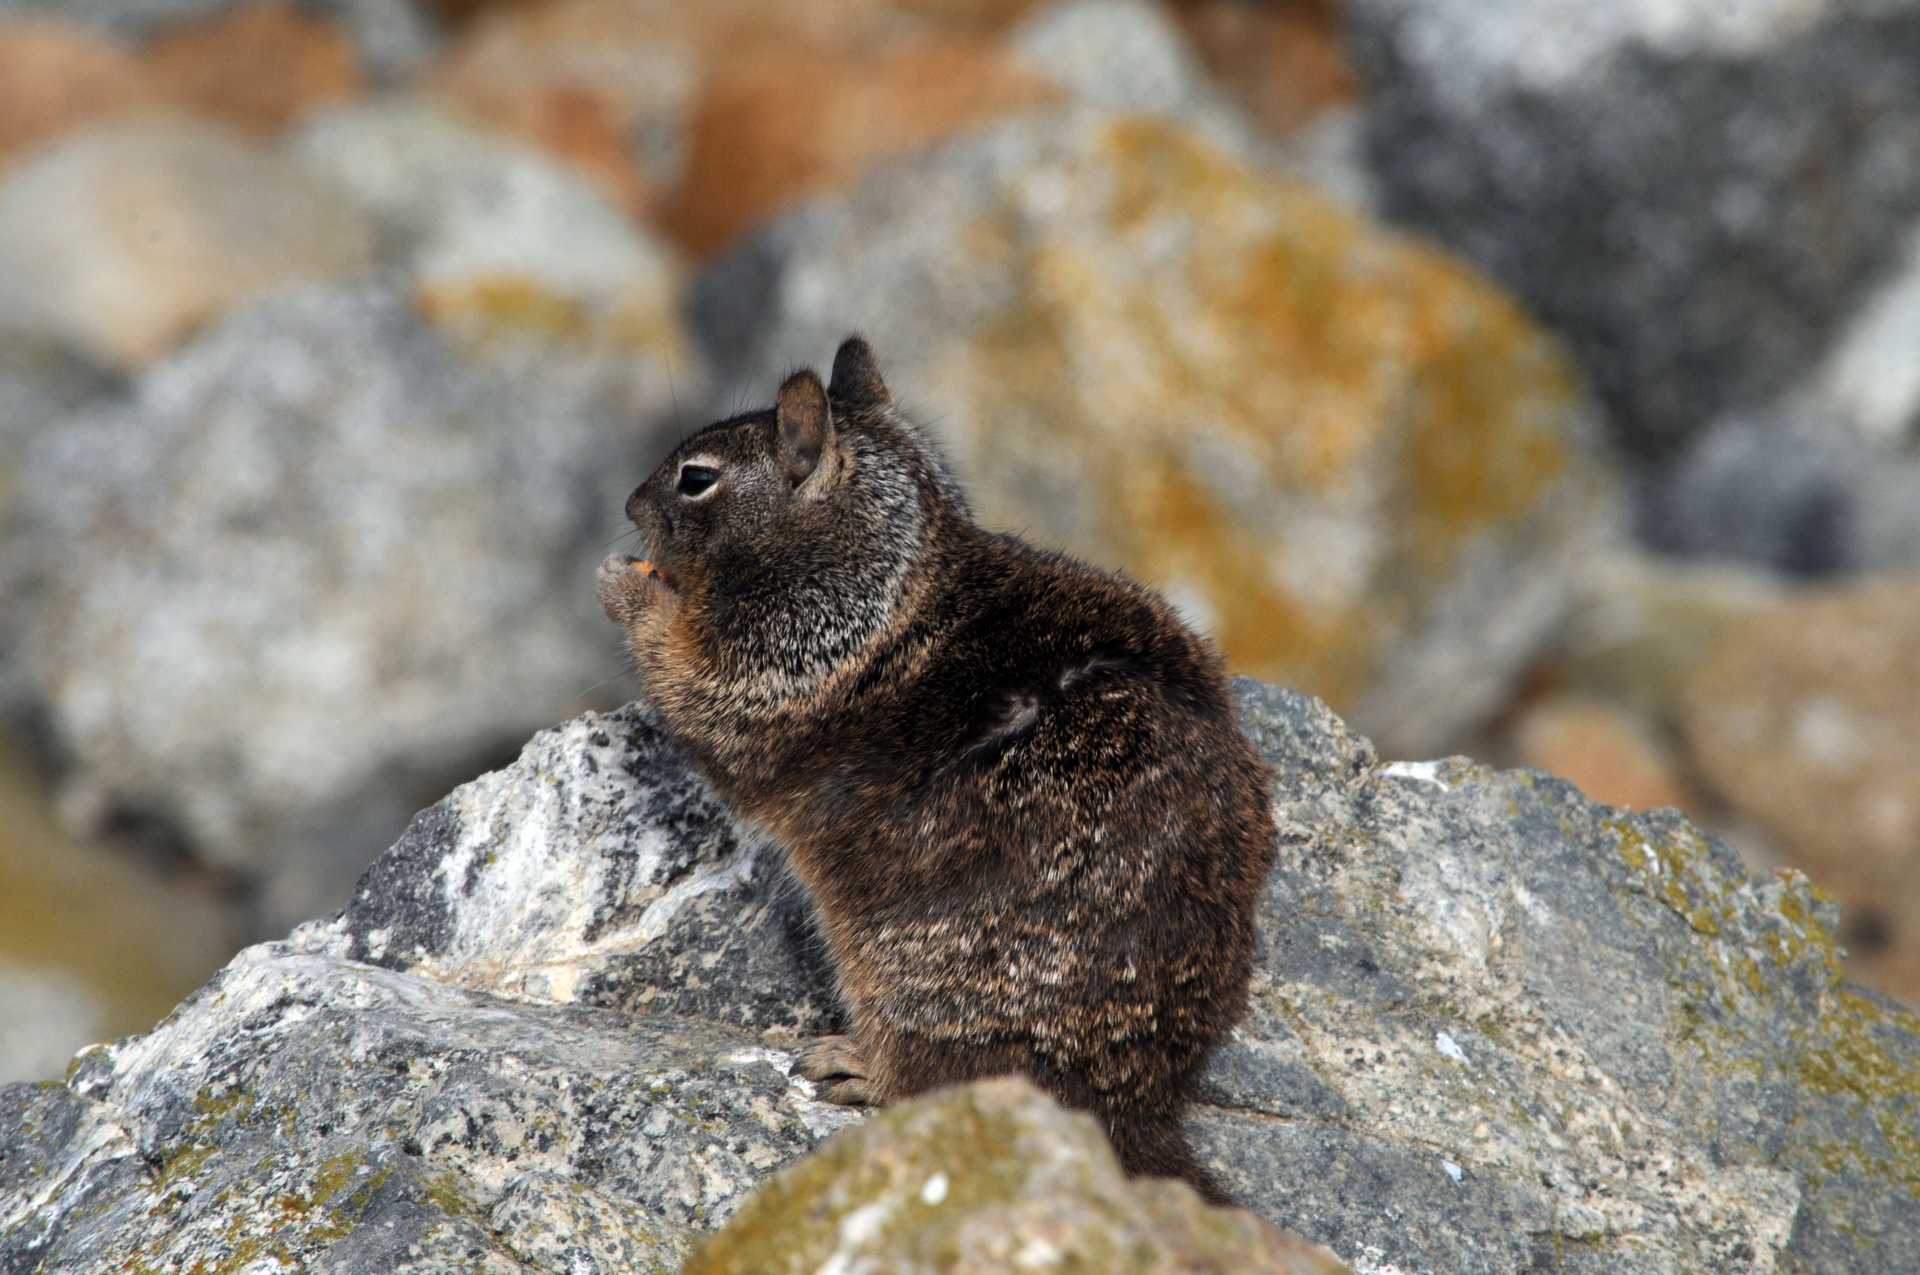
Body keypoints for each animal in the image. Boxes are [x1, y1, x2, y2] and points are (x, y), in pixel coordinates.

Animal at [599, 336, 1274, 1198]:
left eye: (695, 477)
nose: (626, 503)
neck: (892, 570)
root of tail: (1130, 1109)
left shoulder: (785, 654)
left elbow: (697, 682)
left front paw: (625, 586)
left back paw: (855, 1063)